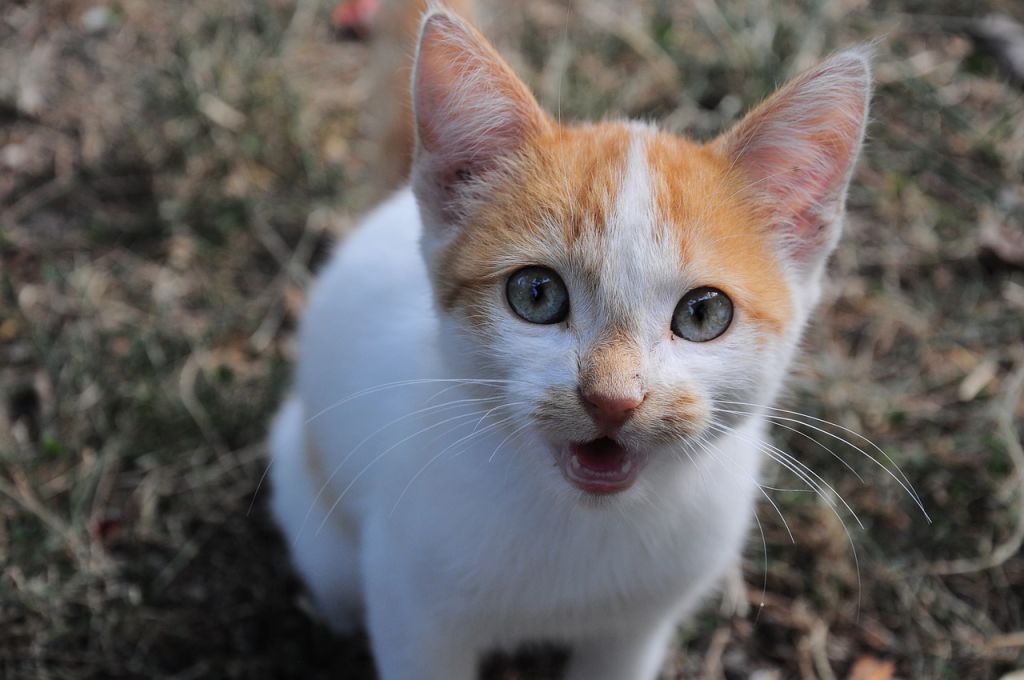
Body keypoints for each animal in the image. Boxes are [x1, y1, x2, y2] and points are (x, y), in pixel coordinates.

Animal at [272, 6, 872, 680]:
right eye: (536, 294)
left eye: (703, 313)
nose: (613, 399)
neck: (582, 524)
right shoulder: (408, 601)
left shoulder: (641, 620)